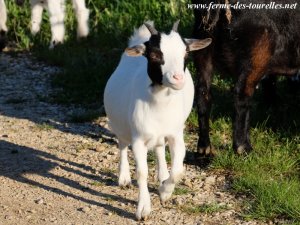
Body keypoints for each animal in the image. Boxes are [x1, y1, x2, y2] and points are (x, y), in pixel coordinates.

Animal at [104, 21, 212, 220]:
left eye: (185, 53)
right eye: (155, 55)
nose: (178, 78)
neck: (160, 103)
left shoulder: (176, 134)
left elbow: (178, 170)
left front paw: (164, 192)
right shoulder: (138, 139)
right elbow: (141, 172)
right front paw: (143, 209)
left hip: (162, 134)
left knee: (160, 148)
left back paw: (162, 175)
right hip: (120, 124)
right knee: (122, 144)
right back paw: (123, 177)